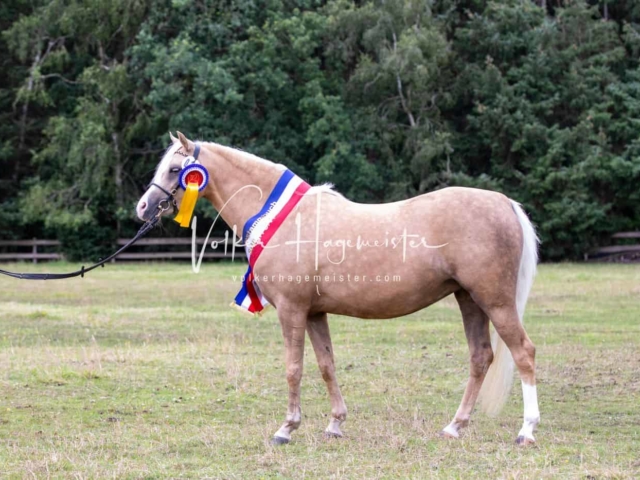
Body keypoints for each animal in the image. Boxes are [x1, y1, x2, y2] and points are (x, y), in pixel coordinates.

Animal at [136, 132, 540, 446]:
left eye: (175, 170)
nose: (143, 207)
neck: (284, 217)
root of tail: (504, 202)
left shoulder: (292, 309)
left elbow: (294, 368)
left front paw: (286, 429)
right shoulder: (315, 312)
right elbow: (326, 365)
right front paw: (334, 425)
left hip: (495, 301)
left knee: (523, 353)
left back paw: (527, 431)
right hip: (468, 299)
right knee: (480, 357)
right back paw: (454, 427)